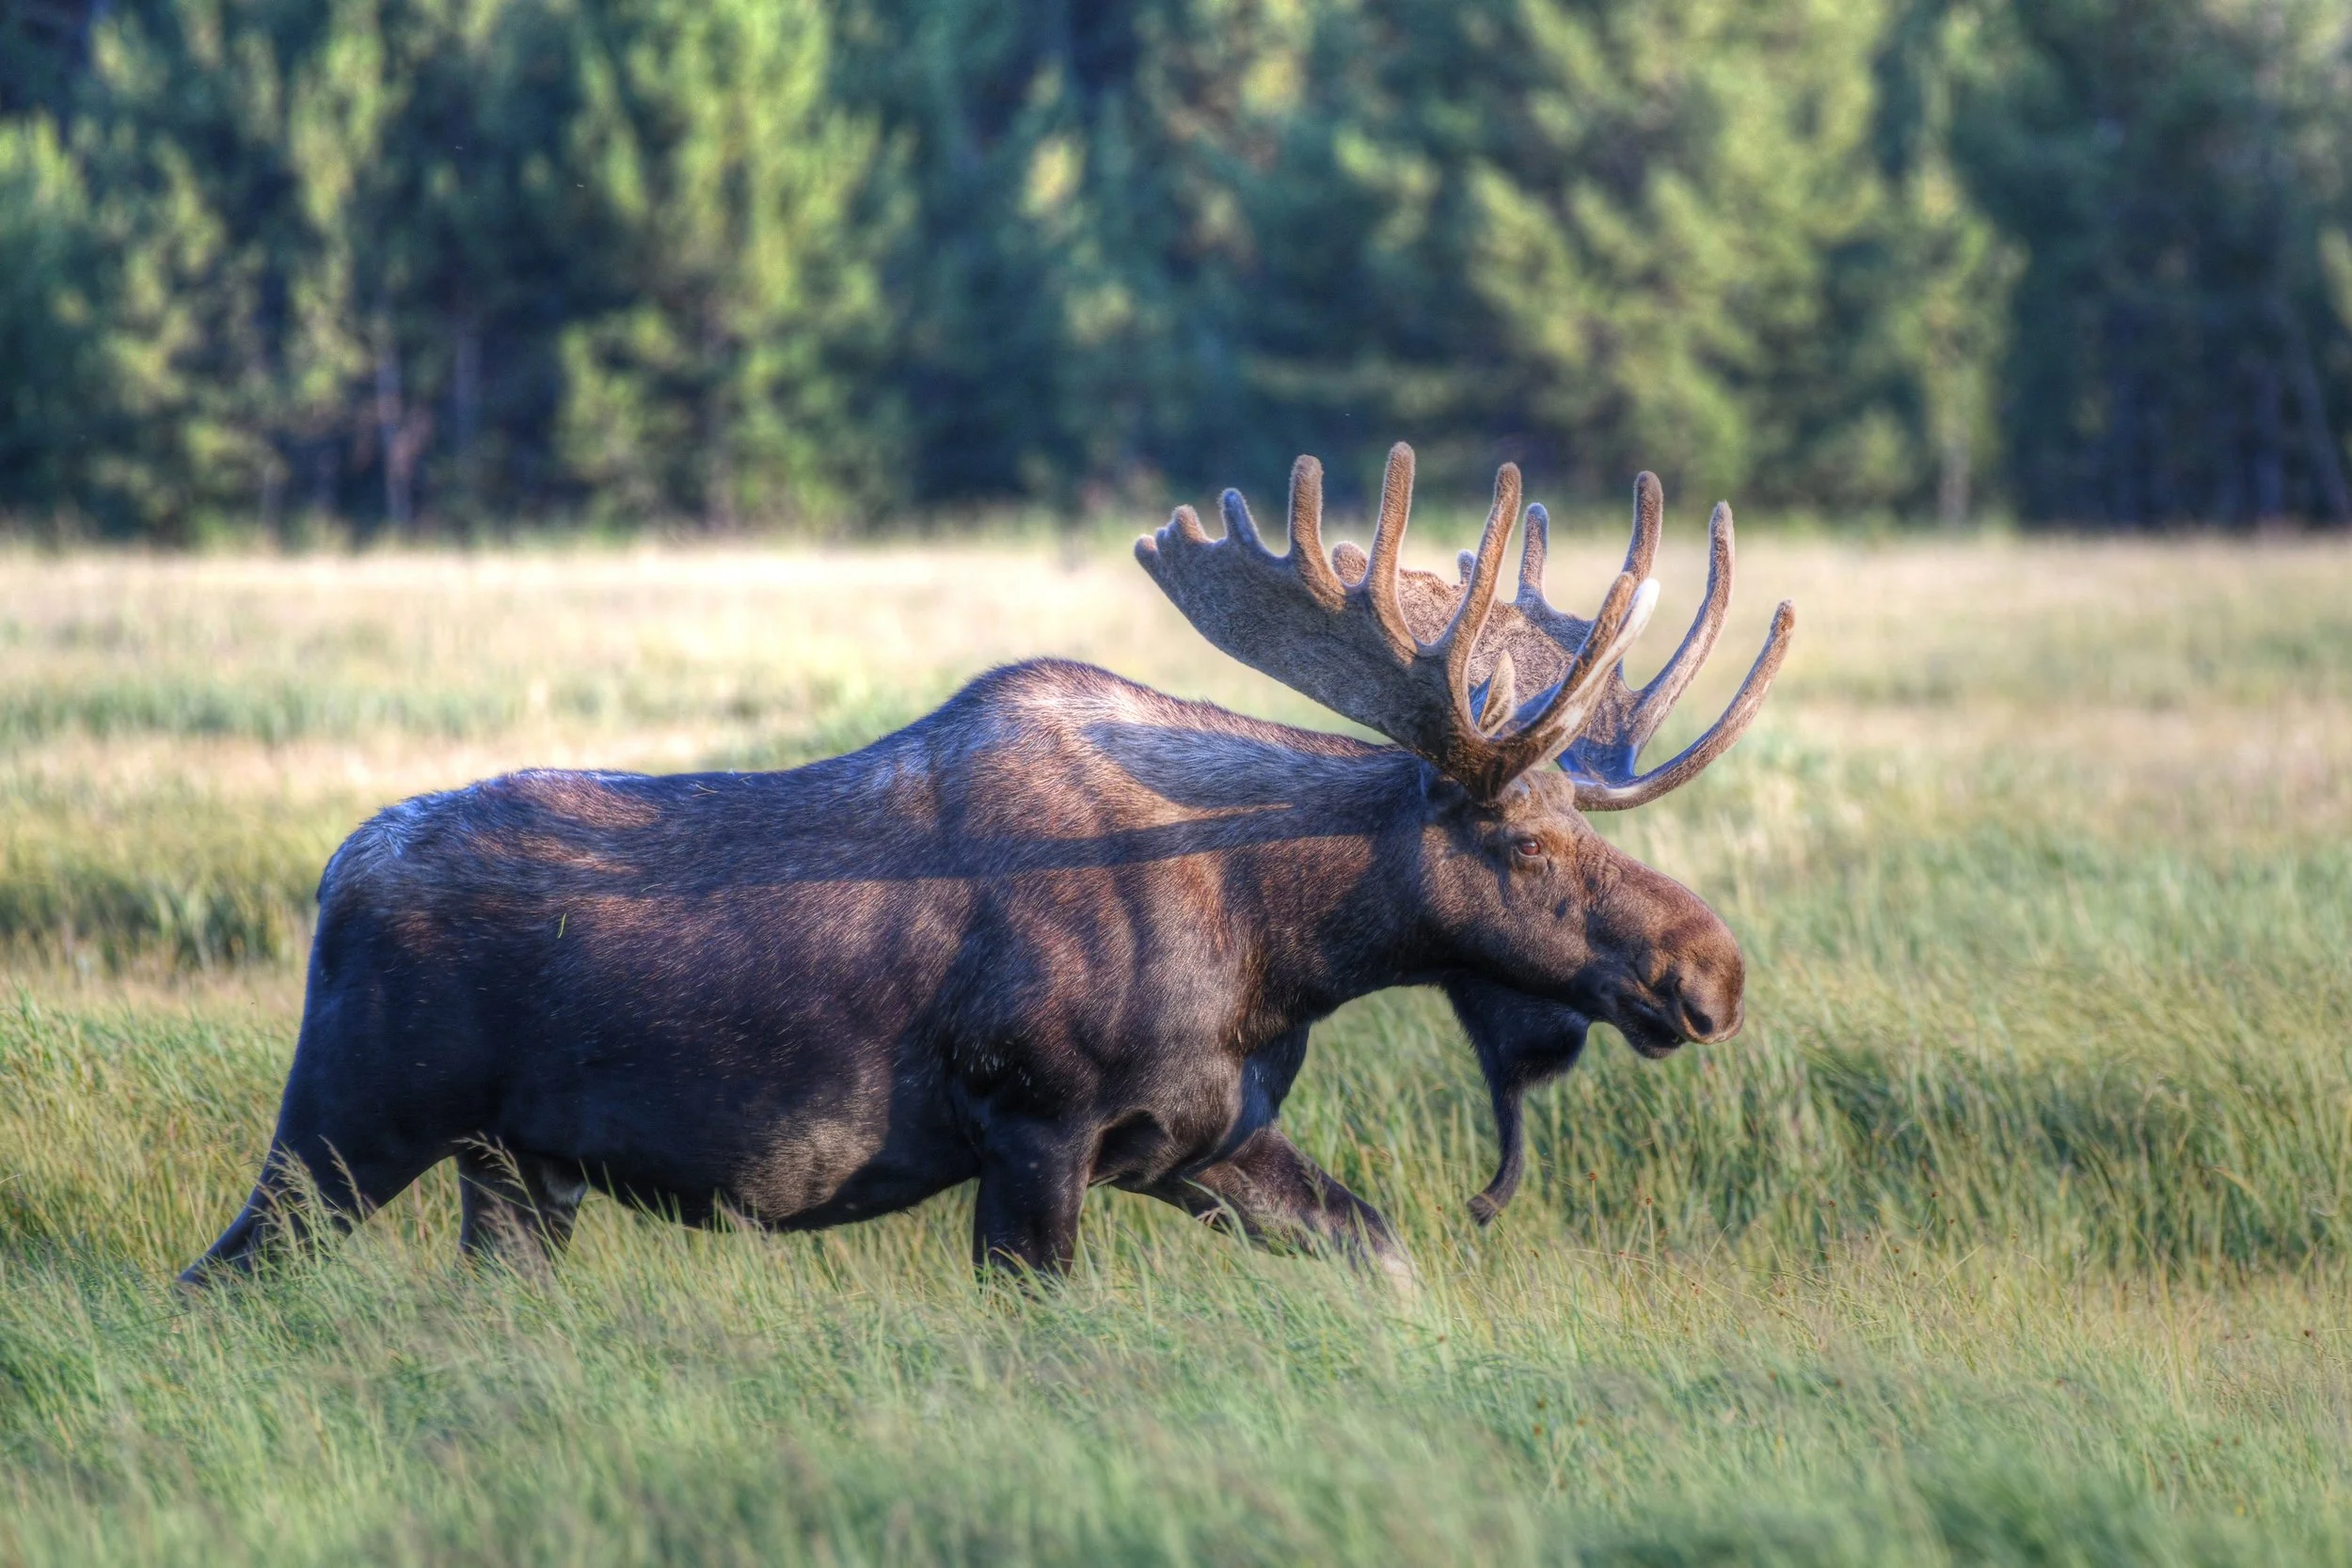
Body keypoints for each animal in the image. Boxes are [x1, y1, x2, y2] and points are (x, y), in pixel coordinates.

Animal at [181, 444, 1791, 1287]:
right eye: (1522, 834)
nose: (1711, 970)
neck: (1279, 951)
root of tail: (332, 879)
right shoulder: (1035, 1122)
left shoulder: (1201, 1139)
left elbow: (1380, 1252)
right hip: (349, 1121)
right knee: (219, 1276)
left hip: (517, 1172)